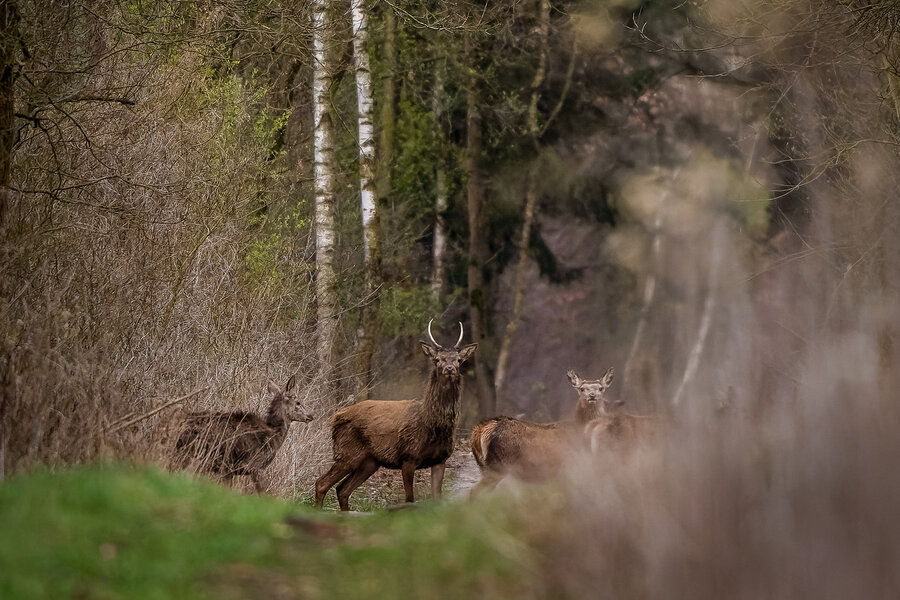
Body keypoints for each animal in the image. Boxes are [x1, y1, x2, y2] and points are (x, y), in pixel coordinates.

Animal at [173, 376, 313, 493]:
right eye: (298, 402)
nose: (310, 416)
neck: (274, 434)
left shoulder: (229, 470)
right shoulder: (255, 466)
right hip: (192, 456)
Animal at [314, 320, 477, 511]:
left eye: (459, 360)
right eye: (437, 359)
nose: (449, 368)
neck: (431, 424)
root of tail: (336, 417)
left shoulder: (440, 460)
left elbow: (437, 499)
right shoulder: (408, 457)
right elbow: (409, 499)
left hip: (369, 462)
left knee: (342, 489)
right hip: (347, 452)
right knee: (322, 483)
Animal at [469, 367, 617, 496]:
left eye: (601, 388)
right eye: (582, 389)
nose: (592, 395)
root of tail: (481, 429)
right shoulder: (568, 468)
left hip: (485, 466)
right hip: (497, 465)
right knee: (474, 492)